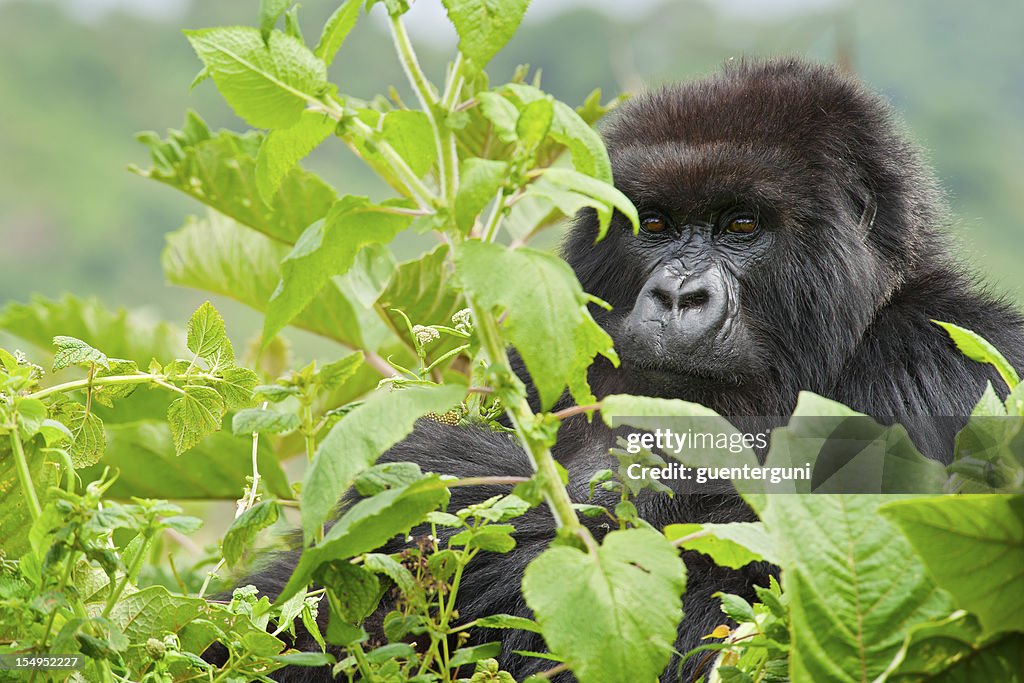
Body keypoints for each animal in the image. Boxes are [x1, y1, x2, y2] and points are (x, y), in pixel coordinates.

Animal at [245, 61, 1024, 679]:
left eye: (742, 225)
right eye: (654, 225)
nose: (679, 296)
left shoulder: (939, 368)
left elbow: (742, 613)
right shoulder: (542, 361)